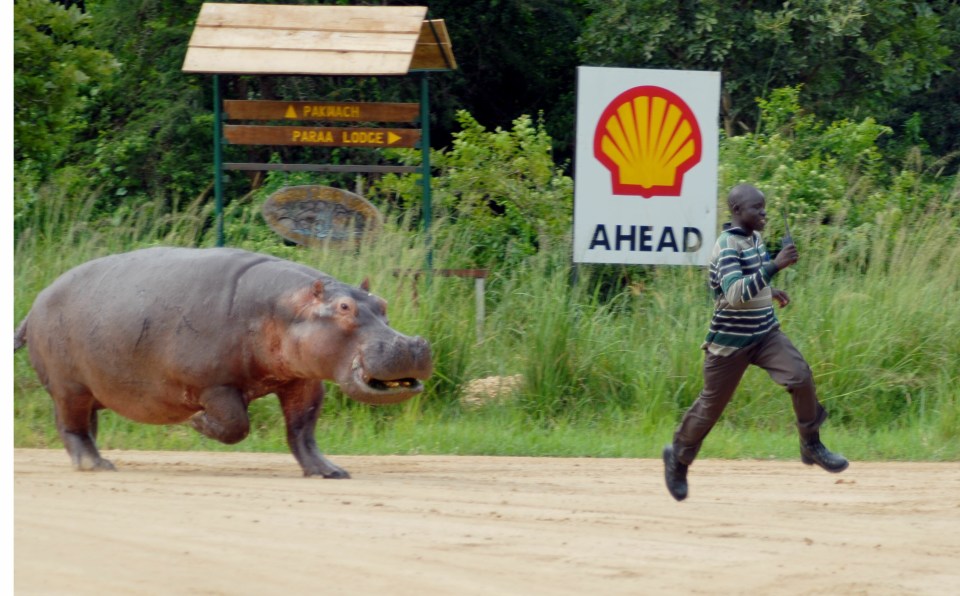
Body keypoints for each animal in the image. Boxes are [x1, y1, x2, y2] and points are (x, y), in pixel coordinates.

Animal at [14, 247, 432, 480]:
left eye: (382, 304)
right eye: (344, 308)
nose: (410, 344)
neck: (284, 308)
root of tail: (36, 302)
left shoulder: (302, 382)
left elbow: (303, 430)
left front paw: (331, 472)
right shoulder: (214, 386)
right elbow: (236, 425)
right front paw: (197, 423)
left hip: (91, 390)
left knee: (85, 426)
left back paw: (93, 459)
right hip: (70, 387)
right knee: (71, 426)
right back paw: (95, 466)